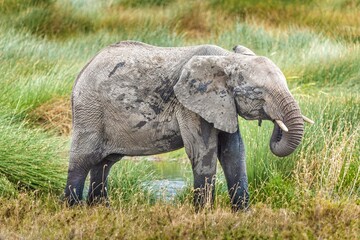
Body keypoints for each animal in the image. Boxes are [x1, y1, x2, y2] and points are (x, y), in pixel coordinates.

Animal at [64, 41, 312, 210]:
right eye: (257, 93)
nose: (275, 125)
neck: (227, 58)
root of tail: (84, 68)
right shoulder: (190, 104)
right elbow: (203, 152)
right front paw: (203, 215)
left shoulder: (222, 104)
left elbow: (233, 153)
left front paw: (243, 215)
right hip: (90, 110)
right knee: (83, 159)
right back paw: (72, 210)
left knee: (105, 163)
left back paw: (100, 209)